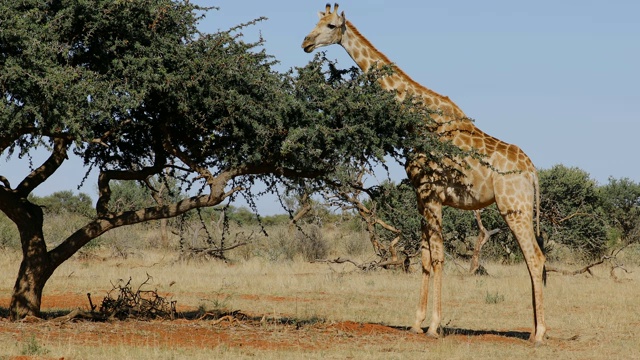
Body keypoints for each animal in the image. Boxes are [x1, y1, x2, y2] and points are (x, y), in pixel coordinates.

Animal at [302, 4, 548, 344]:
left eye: (330, 26)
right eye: (315, 22)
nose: (306, 43)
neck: (417, 119)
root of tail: (532, 171)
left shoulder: (432, 195)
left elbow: (439, 256)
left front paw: (434, 326)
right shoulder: (420, 196)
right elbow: (424, 258)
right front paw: (416, 323)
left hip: (515, 207)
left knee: (535, 258)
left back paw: (539, 334)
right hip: (519, 209)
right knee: (532, 260)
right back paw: (534, 329)